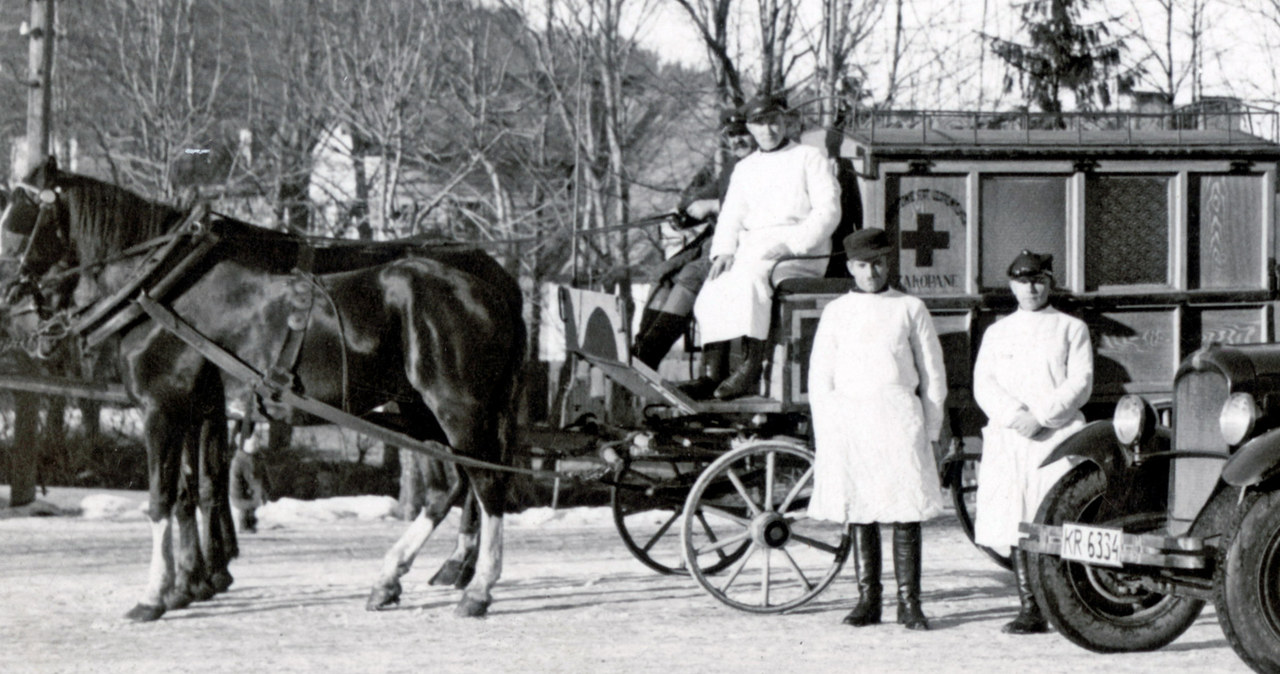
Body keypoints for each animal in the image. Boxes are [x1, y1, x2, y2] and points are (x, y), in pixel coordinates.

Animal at [1, 155, 519, 619]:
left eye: (20, 218)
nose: (13, 299)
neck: (161, 285)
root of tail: (490, 287)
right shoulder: (200, 407)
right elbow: (193, 490)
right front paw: (191, 582)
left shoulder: (163, 406)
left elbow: (162, 499)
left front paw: (158, 594)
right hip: (417, 410)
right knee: (452, 485)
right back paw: (395, 576)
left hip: (457, 407)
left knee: (488, 483)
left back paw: (477, 586)